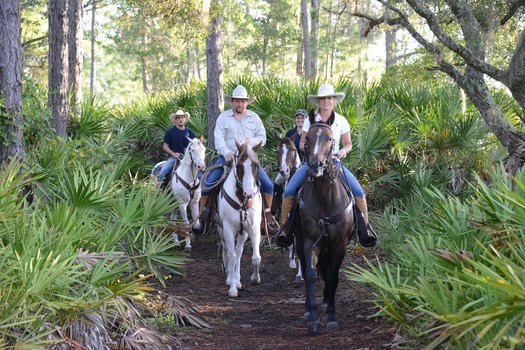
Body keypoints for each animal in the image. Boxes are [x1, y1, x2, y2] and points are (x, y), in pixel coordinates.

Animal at [215, 141, 262, 296]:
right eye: (240, 165)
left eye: (256, 165)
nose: (249, 193)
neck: (242, 200)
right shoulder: (228, 228)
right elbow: (231, 256)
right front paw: (232, 289)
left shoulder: (253, 227)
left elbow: (256, 258)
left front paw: (255, 278)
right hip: (222, 230)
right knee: (228, 250)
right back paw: (231, 279)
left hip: (243, 232)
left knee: (239, 250)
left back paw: (238, 280)